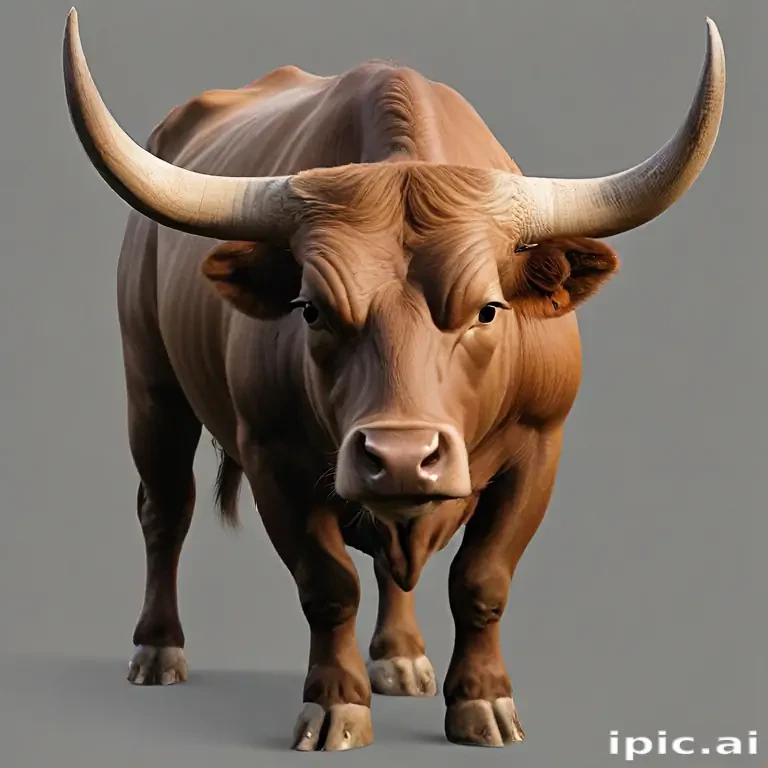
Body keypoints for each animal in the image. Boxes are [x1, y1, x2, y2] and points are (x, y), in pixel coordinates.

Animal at [62, 7, 725, 752]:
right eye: (312, 310)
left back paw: (400, 658)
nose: (402, 454)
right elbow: (328, 585)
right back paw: (157, 649)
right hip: (151, 387)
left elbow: (481, 579)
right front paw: (336, 706)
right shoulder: (272, 455)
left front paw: (483, 702)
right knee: (165, 509)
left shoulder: (540, 445)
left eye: (488, 309)